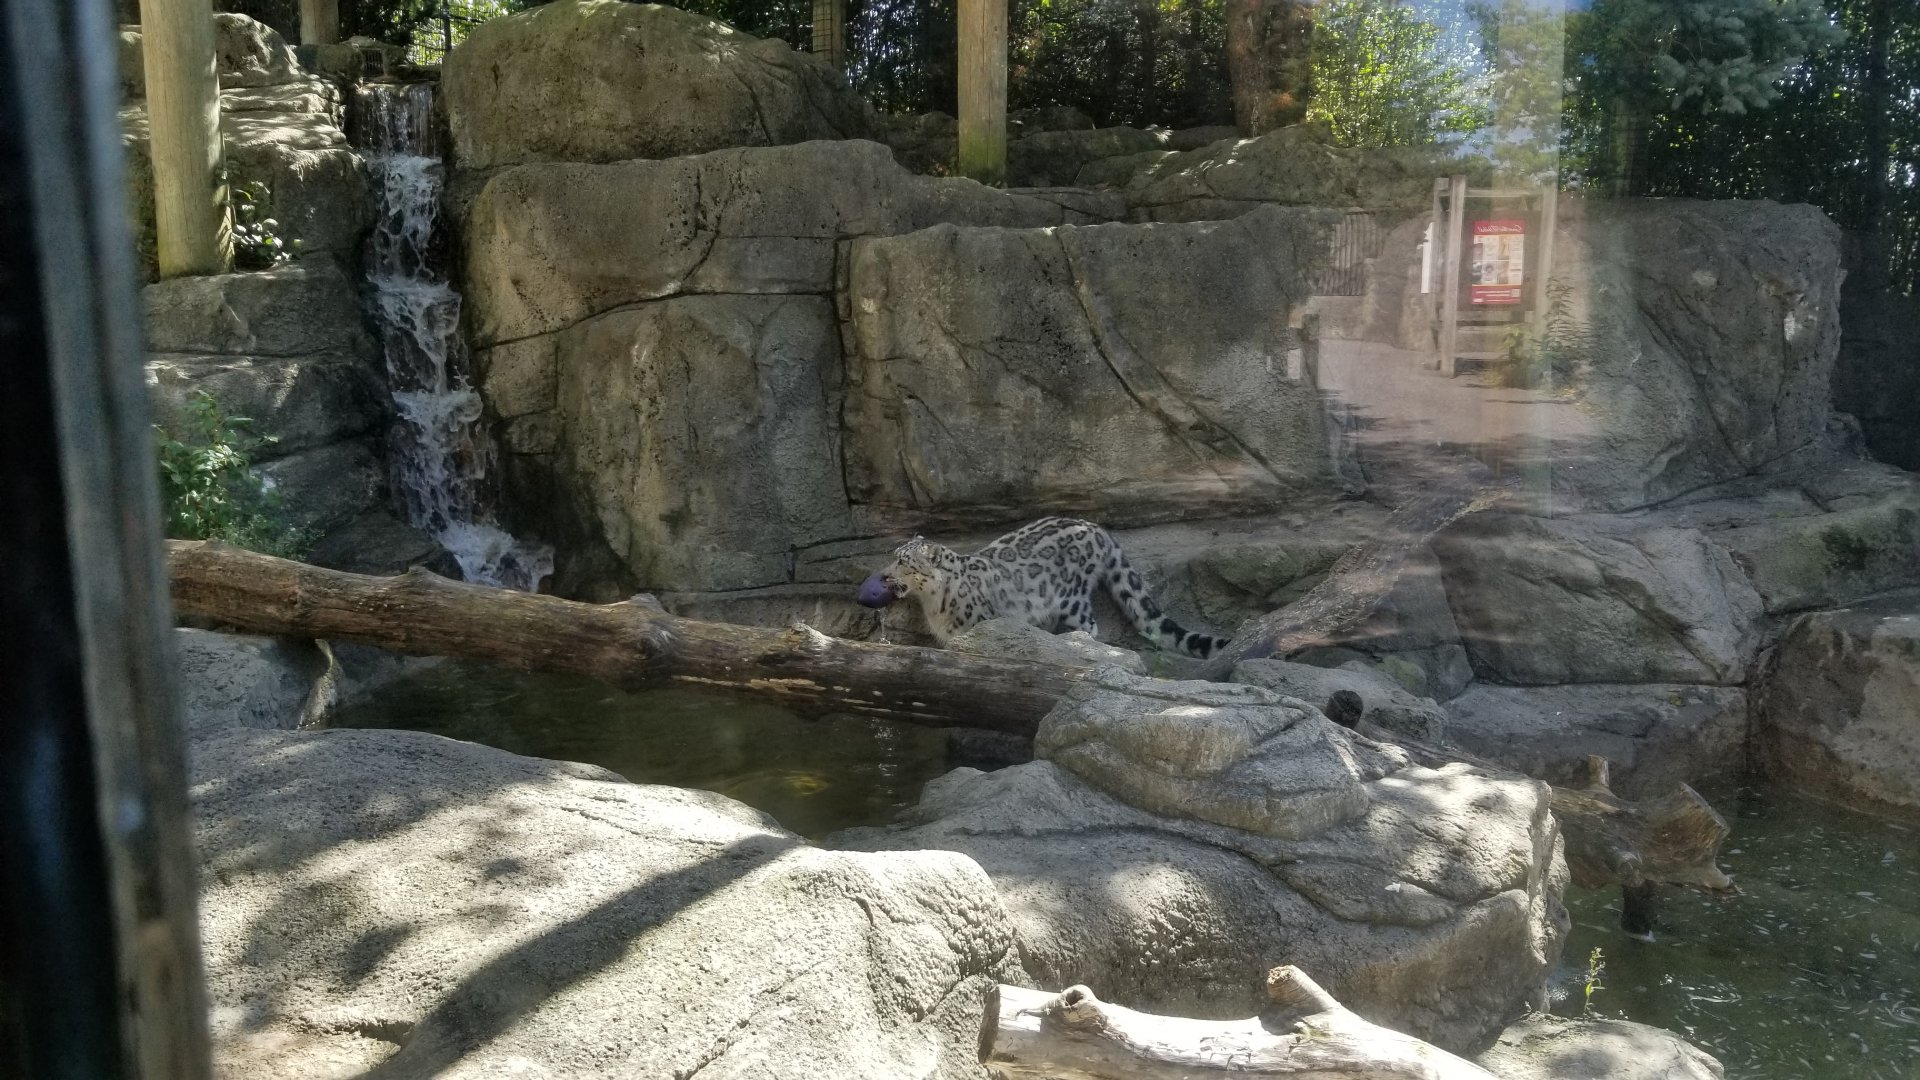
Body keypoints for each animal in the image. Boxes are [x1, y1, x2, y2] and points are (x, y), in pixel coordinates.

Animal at [854, 516, 1229, 659]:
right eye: (895, 557)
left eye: (904, 562)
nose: (884, 576)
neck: (935, 604)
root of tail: (1097, 528)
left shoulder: (977, 625)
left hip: (1072, 597)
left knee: (1090, 623)